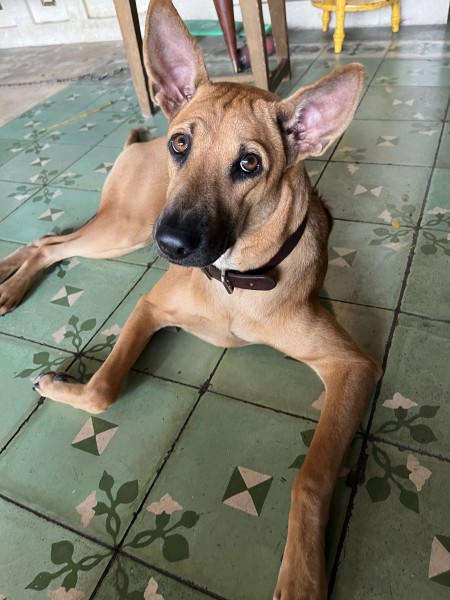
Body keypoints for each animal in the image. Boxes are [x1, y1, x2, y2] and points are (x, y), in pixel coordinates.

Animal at [0, 1, 382, 596]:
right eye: (183, 144)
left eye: (249, 164)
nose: (173, 246)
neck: (233, 282)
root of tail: (141, 142)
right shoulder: (150, 308)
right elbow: (103, 388)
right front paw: (64, 383)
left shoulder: (354, 366)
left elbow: (313, 477)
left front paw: (301, 572)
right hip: (127, 227)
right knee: (49, 242)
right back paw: (10, 283)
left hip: (125, 231)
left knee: (49, 241)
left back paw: (8, 280)